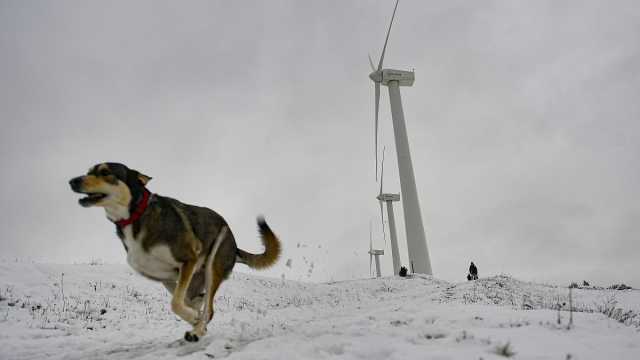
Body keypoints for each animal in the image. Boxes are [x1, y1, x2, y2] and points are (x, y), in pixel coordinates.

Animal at [69, 162, 282, 342]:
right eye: (89, 171)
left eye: (105, 172)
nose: (73, 181)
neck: (136, 215)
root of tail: (236, 247)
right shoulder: (166, 275)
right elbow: (179, 302)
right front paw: (194, 319)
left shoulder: (188, 259)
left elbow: (175, 304)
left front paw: (195, 320)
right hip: (187, 281)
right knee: (199, 302)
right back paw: (198, 325)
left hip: (213, 265)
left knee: (209, 309)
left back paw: (197, 329)